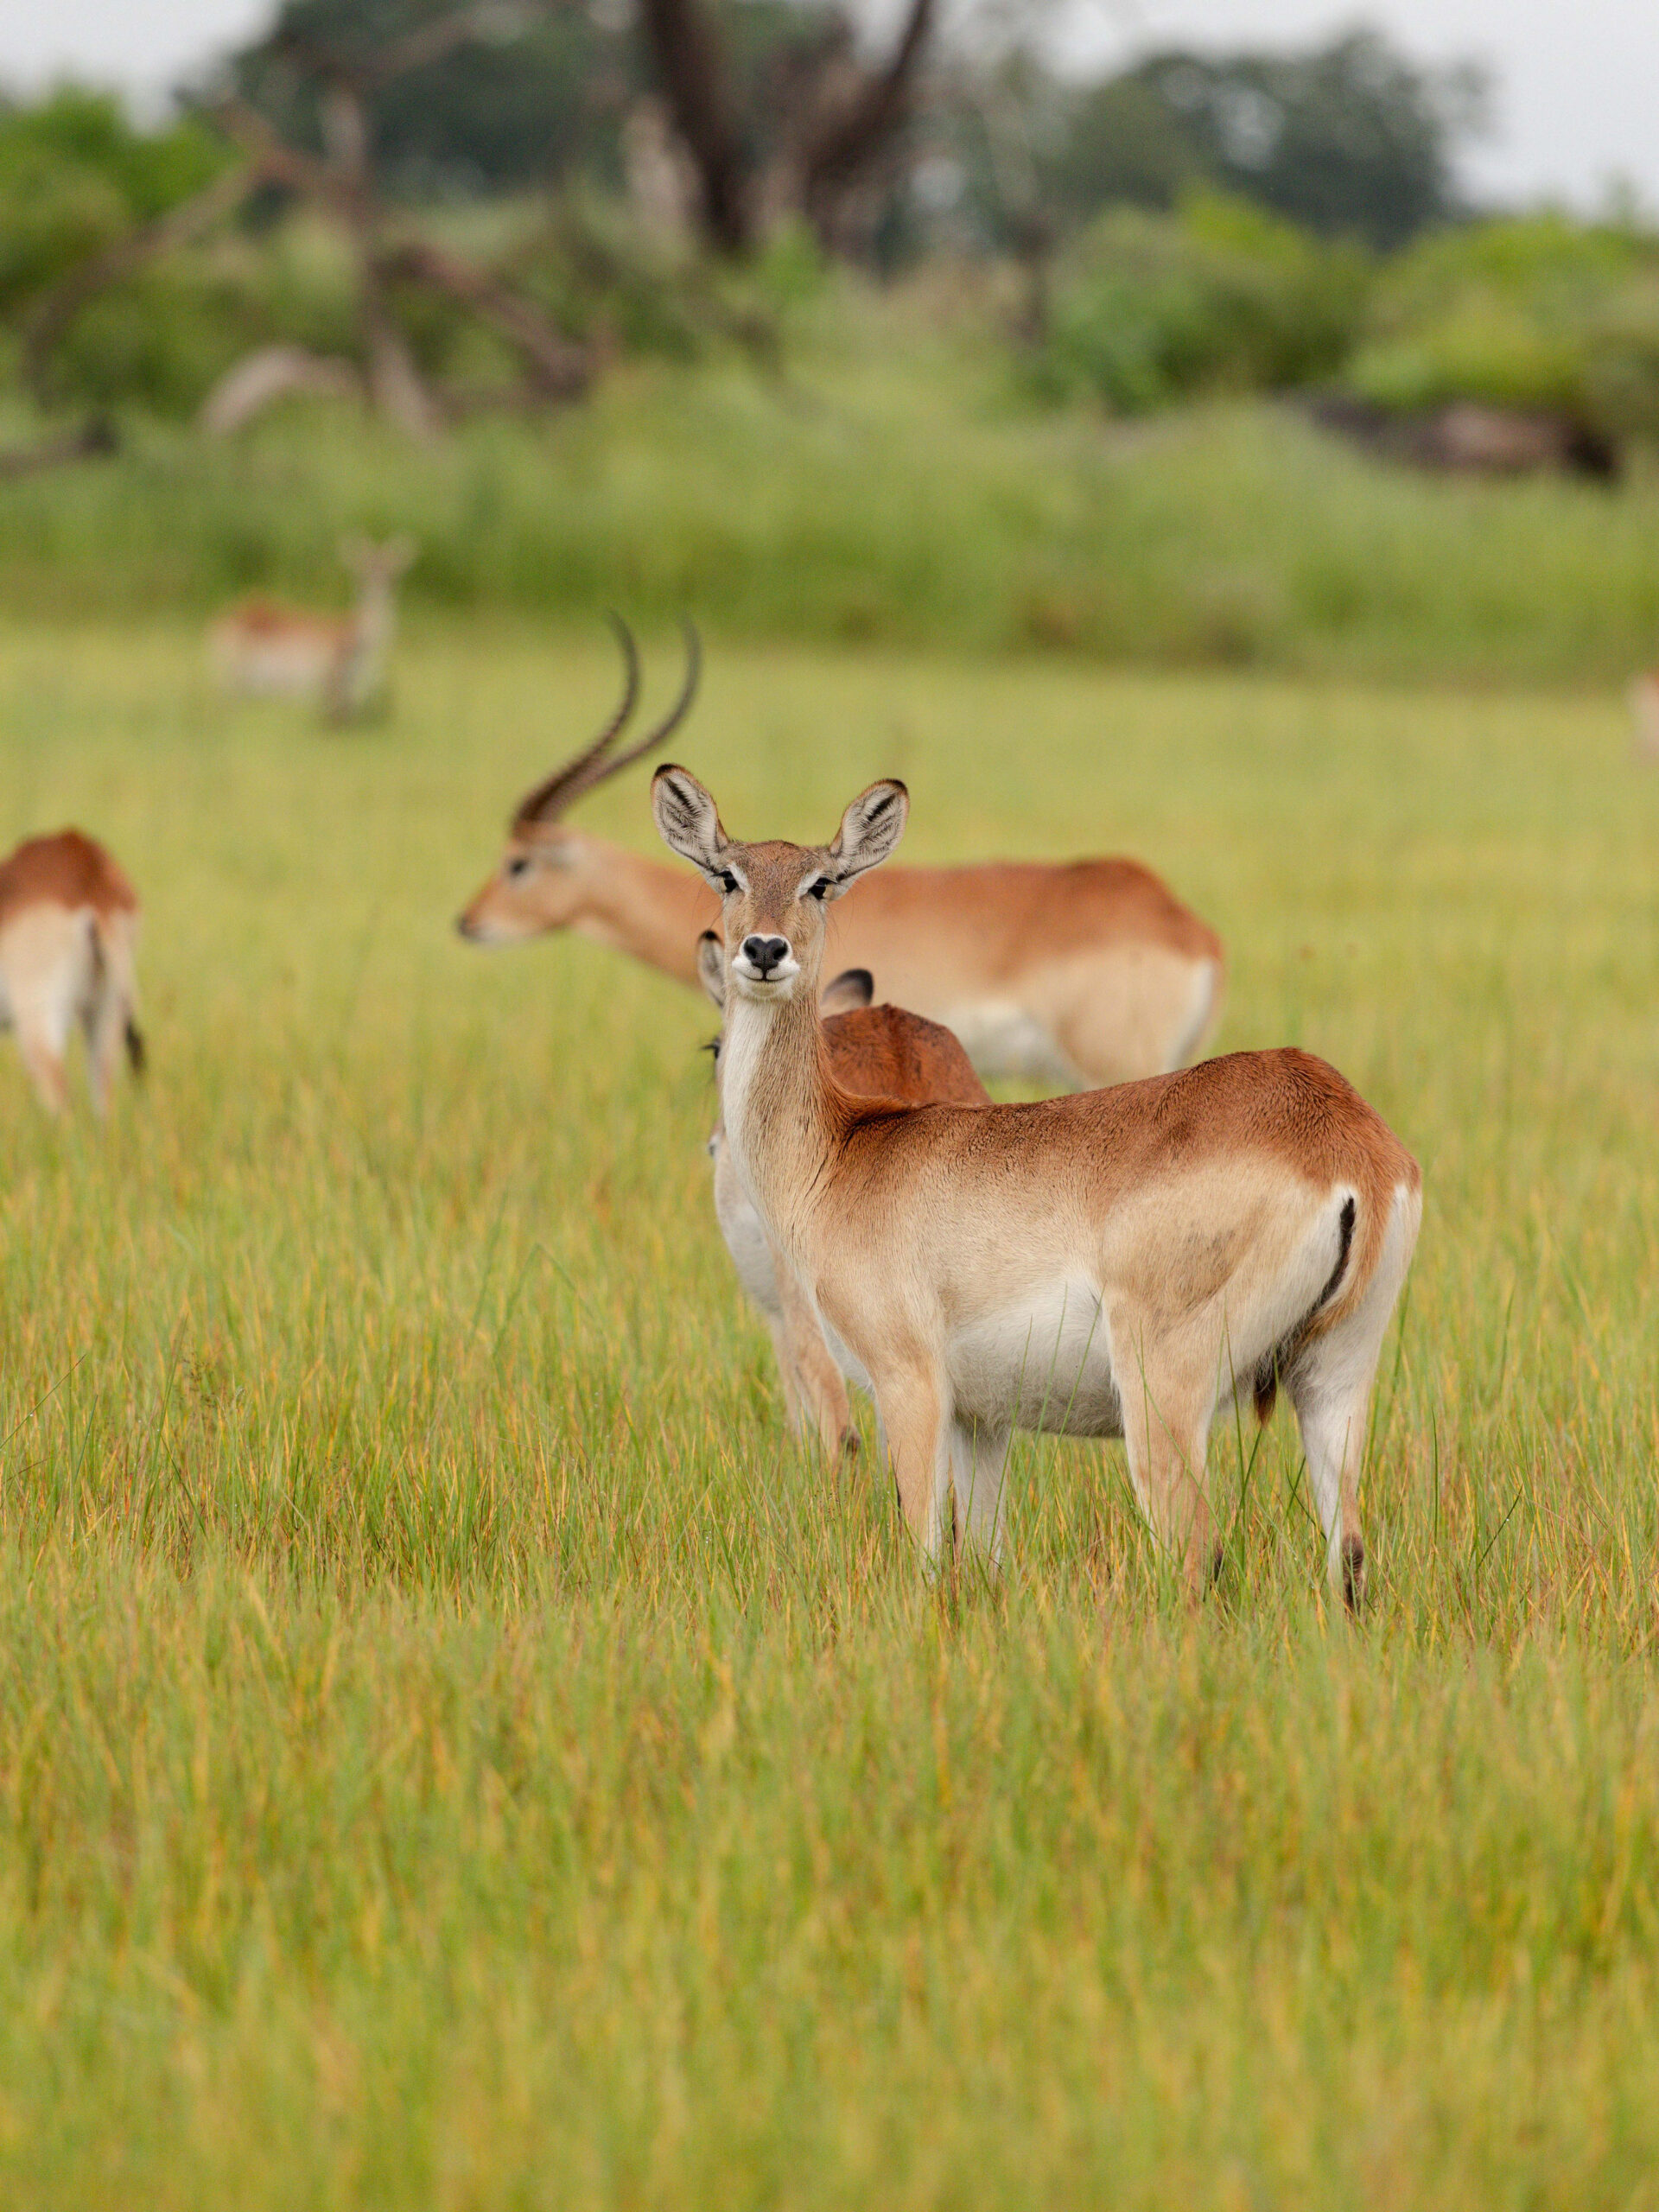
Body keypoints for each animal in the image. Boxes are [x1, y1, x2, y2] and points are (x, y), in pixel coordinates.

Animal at [209, 535, 415, 721]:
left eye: (392, 572)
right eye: (361, 571)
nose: (377, 589)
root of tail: (222, 620)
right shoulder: (330, 683)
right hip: (235, 676)